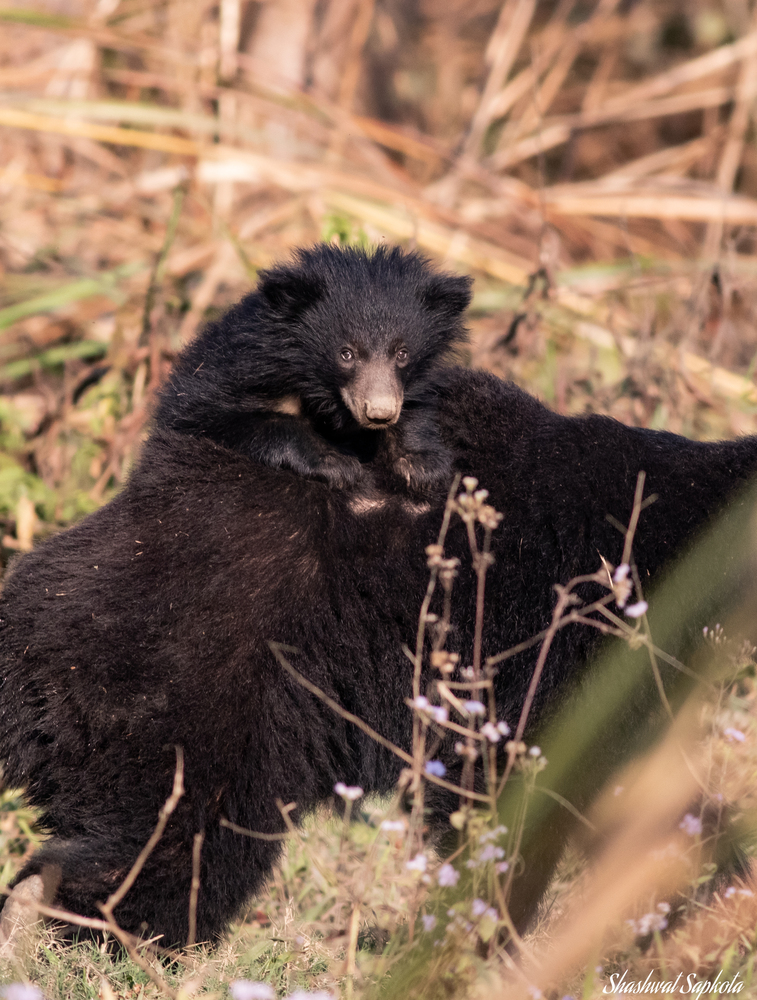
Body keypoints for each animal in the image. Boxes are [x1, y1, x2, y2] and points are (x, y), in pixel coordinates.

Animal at [155, 245, 472, 494]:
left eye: (402, 353)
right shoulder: (232, 375)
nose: (379, 414)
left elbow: (416, 408)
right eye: (346, 354)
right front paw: (338, 464)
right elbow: (216, 417)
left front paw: (420, 464)